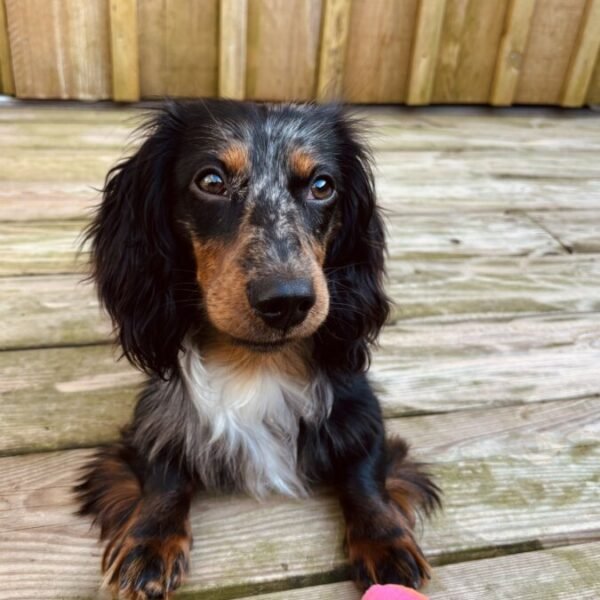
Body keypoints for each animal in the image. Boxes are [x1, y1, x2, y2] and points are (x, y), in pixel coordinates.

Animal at [76, 102, 440, 600]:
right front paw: (150, 540)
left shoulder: (362, 412)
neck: (255, 362)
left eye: (322, 185)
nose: (287, 301)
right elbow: (163, 474)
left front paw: (385, 541)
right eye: (210, 180)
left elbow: (364, 474)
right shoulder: (151, 420)